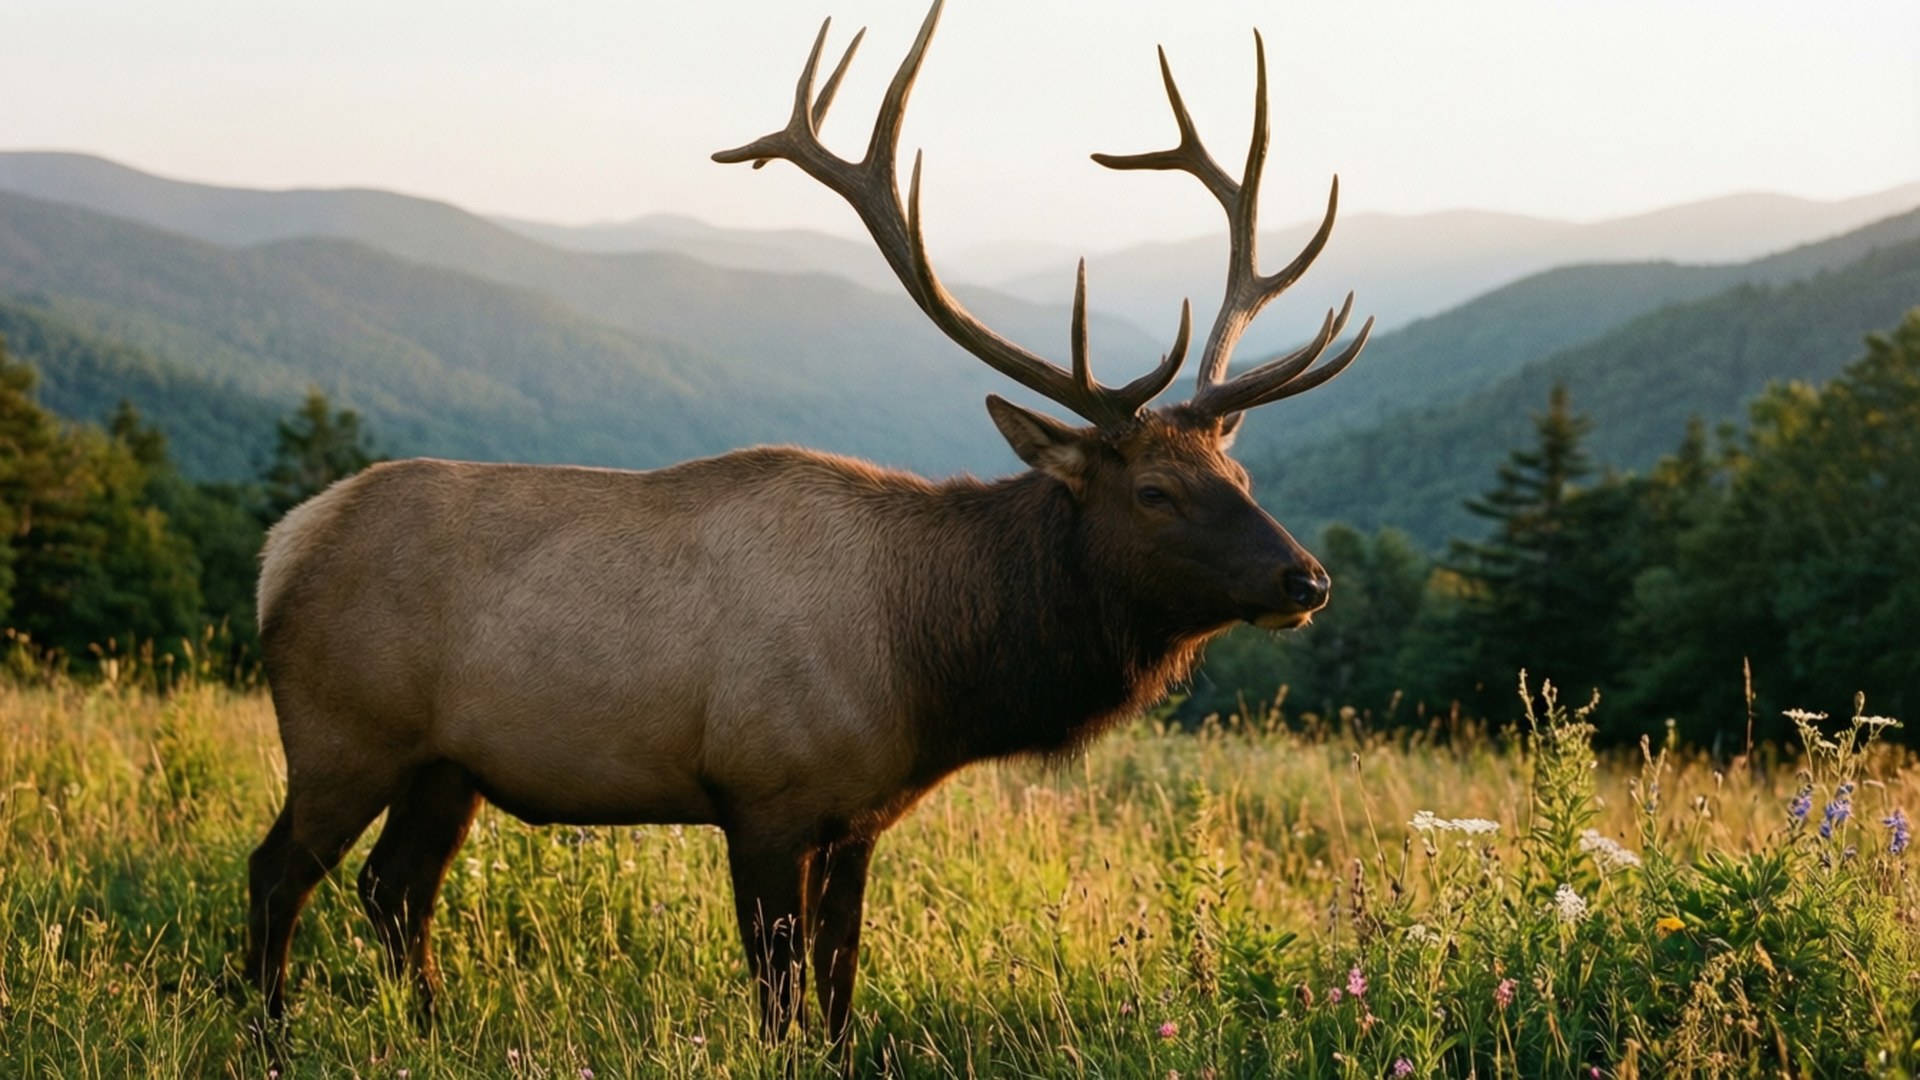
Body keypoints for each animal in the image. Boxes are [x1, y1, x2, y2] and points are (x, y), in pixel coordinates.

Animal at [244, 0, 1371, 1046]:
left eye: (1238, 469)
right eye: (1153, 493)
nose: (1307, 580)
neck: (931, 673)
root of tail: (283, 547)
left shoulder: (858, 817)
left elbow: (837, 993)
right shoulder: (763, 797)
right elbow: (780, 1001)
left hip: (447, 763)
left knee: (395, 890)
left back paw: (432, 1028)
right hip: (344, 733)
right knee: (277, 875)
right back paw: (270, 1034)